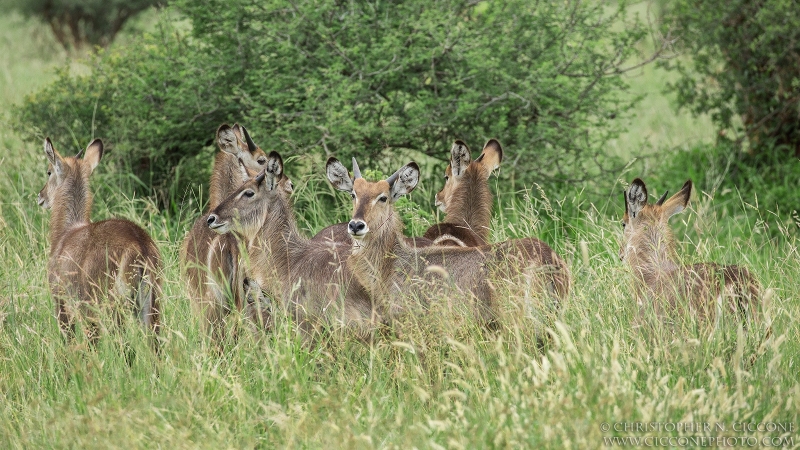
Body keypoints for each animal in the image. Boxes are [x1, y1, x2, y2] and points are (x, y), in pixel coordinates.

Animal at [38, 139, 162, 342]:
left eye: (49, 171)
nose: (40, 196)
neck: (67, 231)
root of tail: (139, 243)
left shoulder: (62, 302)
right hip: (151, 306)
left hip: (111, 306)